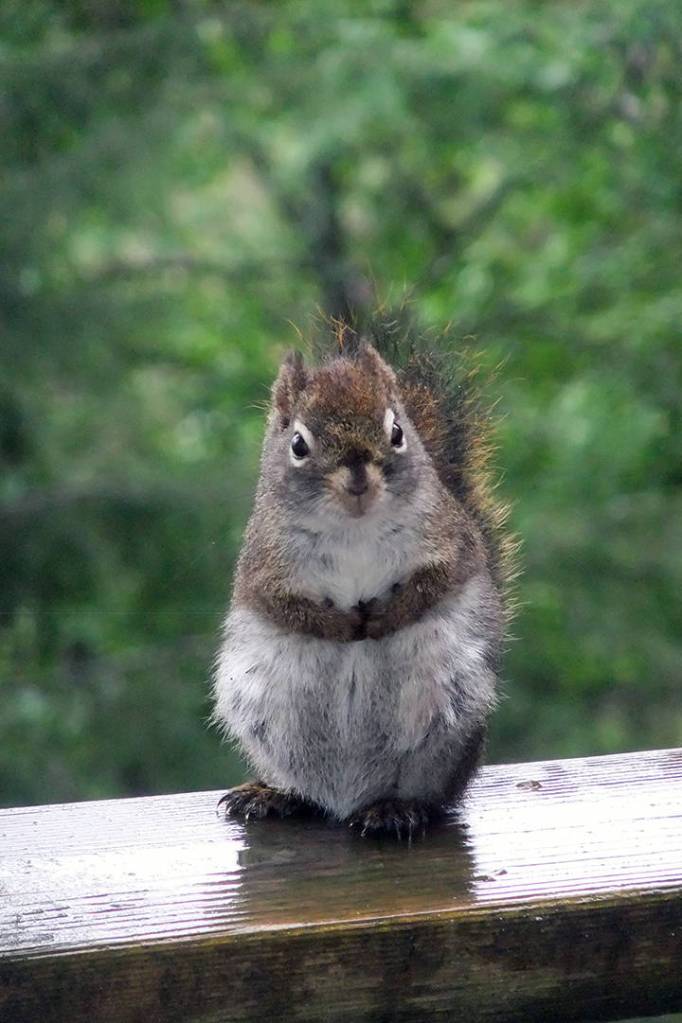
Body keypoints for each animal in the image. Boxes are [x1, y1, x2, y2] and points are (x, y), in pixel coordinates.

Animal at [213, 318, 511, 837]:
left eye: (396, 431)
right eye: (298, 444)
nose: (357, 476)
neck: (353, 528)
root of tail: (346, 799)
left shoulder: (453, 543)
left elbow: (437, 583)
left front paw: (383, 618)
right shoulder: (262, 567)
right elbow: (283, 607)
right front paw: (339, 626)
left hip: (447, 725)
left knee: (430, 795)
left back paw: (397, 808)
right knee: (303, 788)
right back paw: (275, 794)